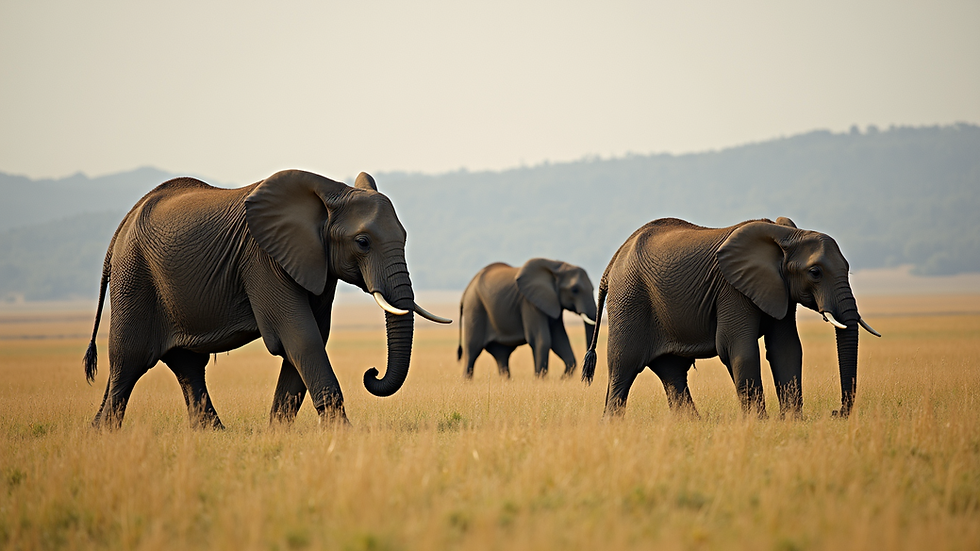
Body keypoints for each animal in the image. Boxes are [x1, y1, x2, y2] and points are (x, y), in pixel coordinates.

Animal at [82, 169, 451, 429]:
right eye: (362, 242)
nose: (370, 373)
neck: (330, 194)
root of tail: (120, 229)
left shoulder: (314, 262)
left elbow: (310, 337)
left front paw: (277, 432)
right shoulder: (263, 259)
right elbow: (301, 335)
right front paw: (342, 433)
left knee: (187, 365)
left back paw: (212, 433)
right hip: (134, 278)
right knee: (129, 360)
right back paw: (104, 433)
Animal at [457, 258, 598, 379]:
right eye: (575, 290)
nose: (587, 370)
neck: (556, 267)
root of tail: (465, 291)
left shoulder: (552, 302)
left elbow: (560, 341)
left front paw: (562, 381)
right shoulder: (529, 302)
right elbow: (542, 340)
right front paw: (540, 380)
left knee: (501, 354)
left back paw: (505, 381)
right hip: (475, 307)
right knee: (472, 350)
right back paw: (466, 381)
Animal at [582, 217, 880, 419]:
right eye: (815, 272)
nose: (835, 412)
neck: (786, 235)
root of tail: (613, 261)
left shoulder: (778, 288)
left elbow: (786, 348)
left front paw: (792, 421)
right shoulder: (731, 289)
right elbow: (738, 349)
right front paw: (760, 423)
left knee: (671, 371)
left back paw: (692, 424)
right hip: (630, 299)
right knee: (624, 366)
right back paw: (612, 425)